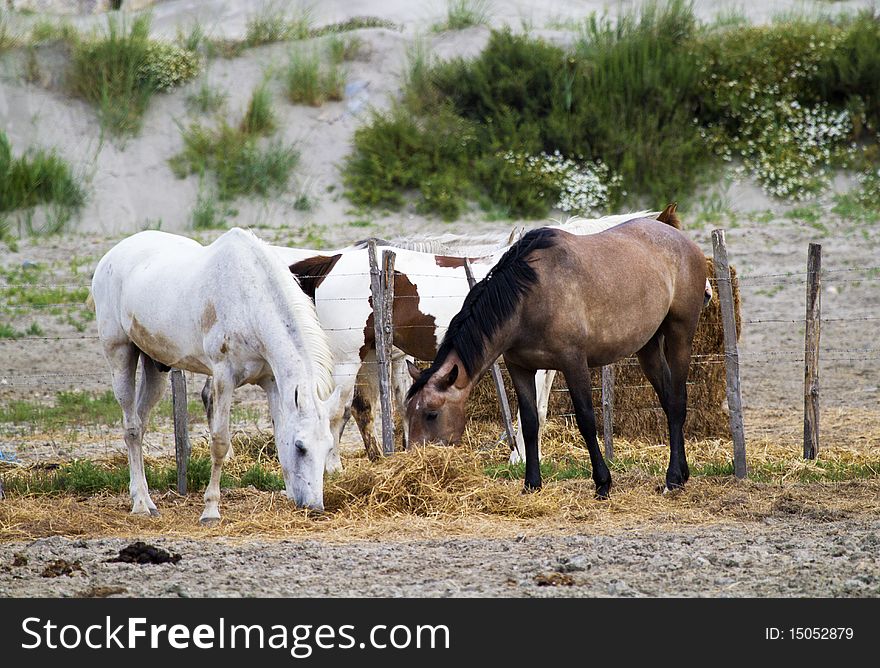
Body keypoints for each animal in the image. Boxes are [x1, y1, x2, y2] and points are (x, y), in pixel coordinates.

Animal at [92, 227, 340, 520]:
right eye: (301, 447)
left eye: (328, 447)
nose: (315, 507)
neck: (247, 299)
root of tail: (110, 255)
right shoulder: (223, 378)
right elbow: (219, 442)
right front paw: (211, 510)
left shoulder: (272, 382)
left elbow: (280, 436)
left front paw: (289, 494)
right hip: (119, 355)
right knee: (131, 429)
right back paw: (140, 504)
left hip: (155, 368)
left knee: (140, 426)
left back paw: (148, 501)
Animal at [406, 215, 708, 496]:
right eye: (408, 413)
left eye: (431, 414)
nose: (417, 462)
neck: (530, 297)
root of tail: (684, 240)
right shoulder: (520, 367)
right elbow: (529, 422)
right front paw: (531, 484)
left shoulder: (573, 363)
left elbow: (586, 419)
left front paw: (602, 483)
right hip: (648, 346)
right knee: (668, 401)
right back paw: (681, 474)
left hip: (680, 334)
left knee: (677, 401)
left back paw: (672, 479)